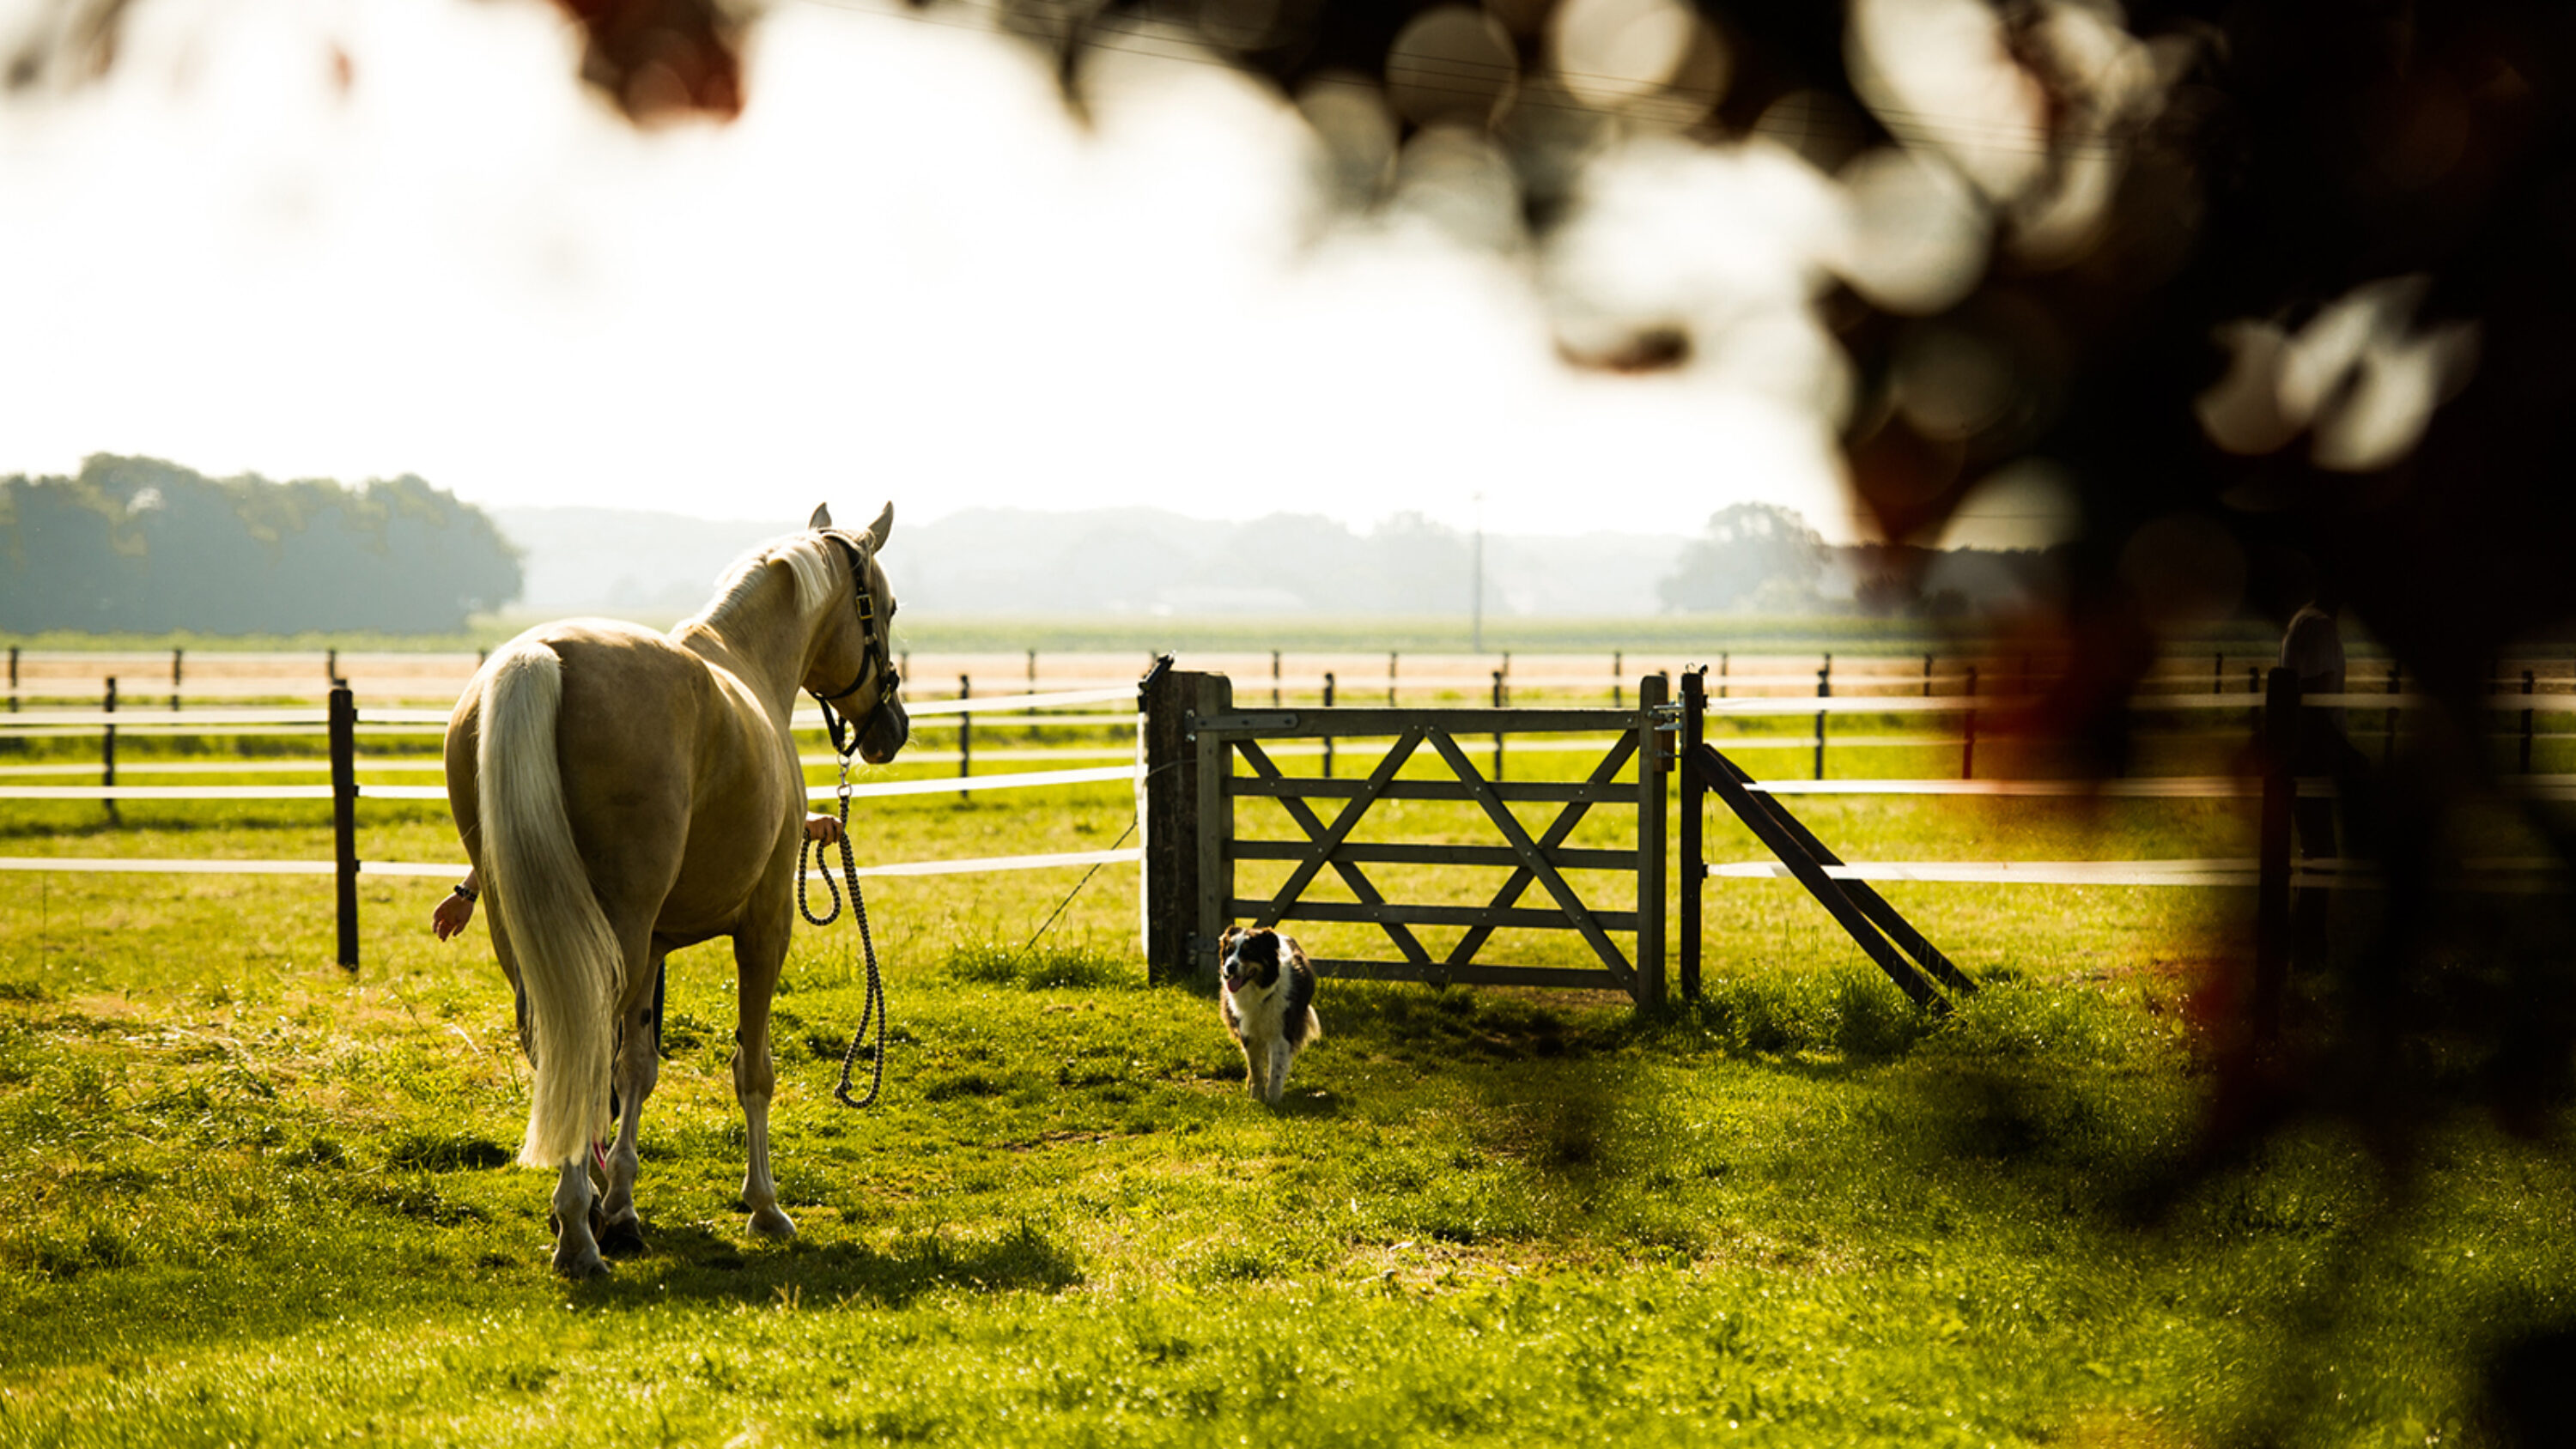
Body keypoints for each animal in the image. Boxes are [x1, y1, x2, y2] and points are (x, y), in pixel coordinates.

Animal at [448, 504, 912, 1276]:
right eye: (887, 603)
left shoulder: (655, 949)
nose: (892, 729)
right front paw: (764, 1207)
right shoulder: (766, 926)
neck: (745, 664)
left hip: (530, 937)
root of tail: (541, 657)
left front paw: (621, 1203)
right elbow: (752, 1068)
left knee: (559, 1052)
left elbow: (637, 1068)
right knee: (583, 1056)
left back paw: (579, 1214)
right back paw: (578, 1238)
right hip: (618, 934)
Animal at [1216, 926, 1319, 1106]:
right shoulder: (1248, 1034)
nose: (1229, 967)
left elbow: (1276, 1070)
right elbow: (1256, 1069)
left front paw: (1273, 1100)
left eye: (1249, 951)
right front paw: (1256, 1098)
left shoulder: (1282, 1034)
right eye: (1229, 951)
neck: (1260, 994)